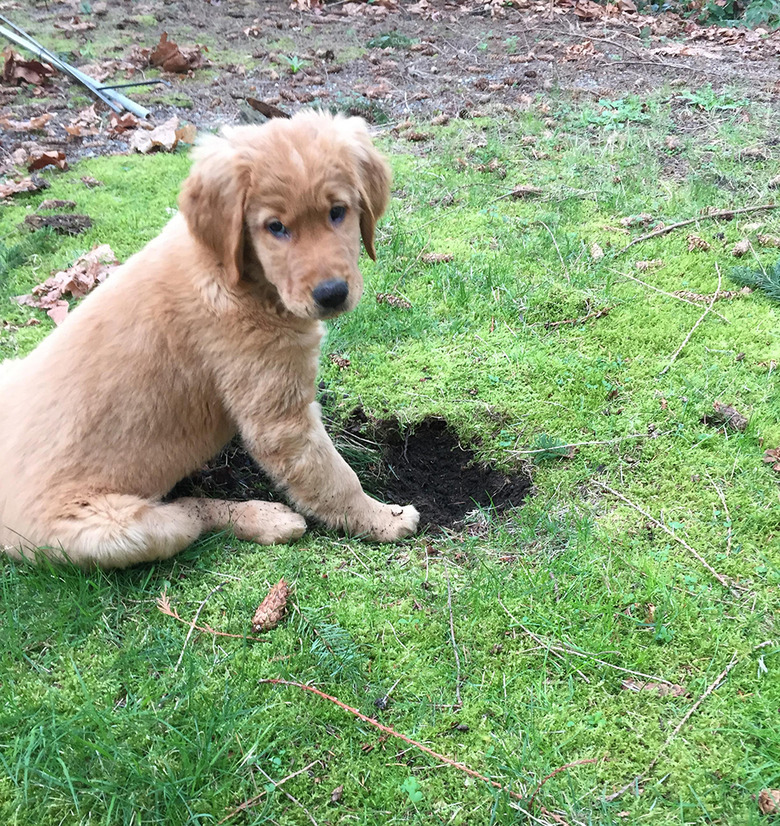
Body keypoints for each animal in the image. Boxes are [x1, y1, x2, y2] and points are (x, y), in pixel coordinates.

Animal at [0, 111, 420, 568]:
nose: (331, 294)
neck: (232, 271)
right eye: (275, 227)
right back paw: (267, 518)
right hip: (114, 530)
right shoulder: (279, 418)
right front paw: (382, 518)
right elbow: (333, 476)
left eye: (338, 212)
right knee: (189, 513)